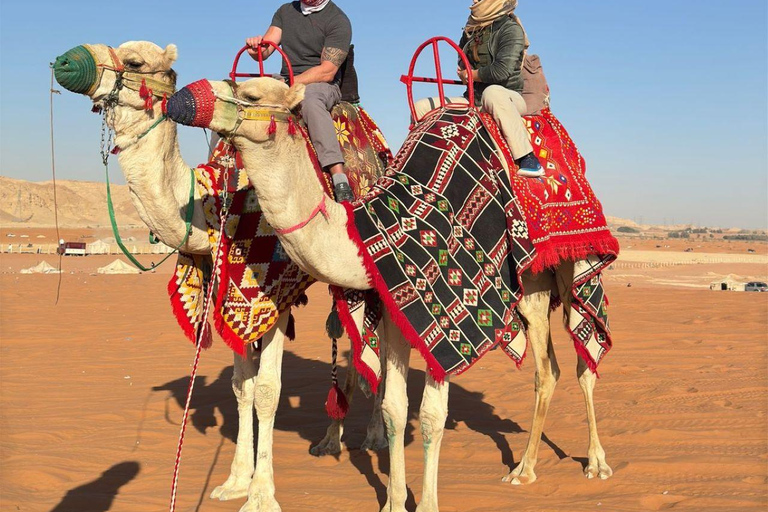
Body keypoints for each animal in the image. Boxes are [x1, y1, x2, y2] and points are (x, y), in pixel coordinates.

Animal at [52, 41, 386, 510]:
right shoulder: (230, 288)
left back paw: (374, 436)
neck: (210, 204)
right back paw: (329, 441)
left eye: (135, 62)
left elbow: (267, 390)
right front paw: (234, 480)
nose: (66, 60)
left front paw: (261, 494)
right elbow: (241, 385)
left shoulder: (272, 292)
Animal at [167, 77, 613, 512]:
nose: (183, 99)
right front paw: (394, 503)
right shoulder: (398, 309)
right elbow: (395, 408)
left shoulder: (445, 313)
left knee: (571, 363)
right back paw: (534, 463)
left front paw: (427, 505)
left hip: (566, 271)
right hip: (533, 286)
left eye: (251, 94)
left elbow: (432, 415)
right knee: (554, 368)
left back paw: (570, 465)